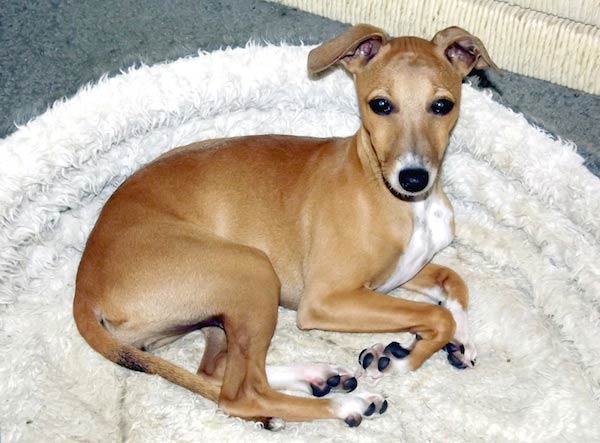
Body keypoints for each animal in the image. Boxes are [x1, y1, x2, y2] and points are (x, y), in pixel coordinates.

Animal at [74, 23, 496, 426]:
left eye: (442, 105)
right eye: (381, 104)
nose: (413, 178)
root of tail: (85, 288)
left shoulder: (395, 275)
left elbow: (454, 282)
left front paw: (458, 341)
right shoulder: (326, 298)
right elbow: (436, 314)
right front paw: (404, 358)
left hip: (221, 314)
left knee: (216, 371)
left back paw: (319, 376)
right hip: (253, 273)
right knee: (241, 392)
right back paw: (345, 404)